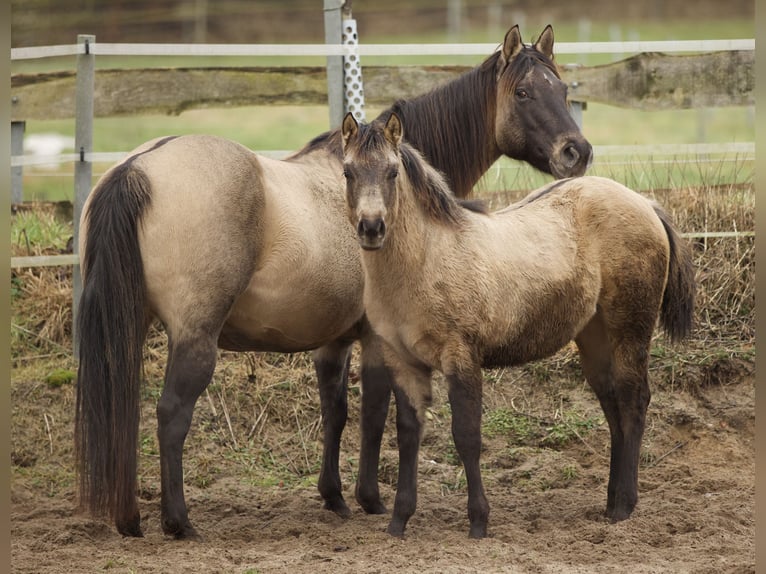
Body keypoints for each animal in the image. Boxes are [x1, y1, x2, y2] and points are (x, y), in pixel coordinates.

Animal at [76, 23, 592, 540]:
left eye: (564, 90)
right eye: (523, 93)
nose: (577, 152)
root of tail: (135, 169)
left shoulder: (334, 340)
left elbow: (336, 412)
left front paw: (334, 496)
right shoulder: (377, 339)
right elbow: (374, 413)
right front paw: (371, 498)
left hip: (128, 329)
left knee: (123, 412)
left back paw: (129, 518)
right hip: (194, 339)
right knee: (170, 415)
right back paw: (178, 521)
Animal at [340, 115, 696, 544]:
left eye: (392, 172)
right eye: (347, 171)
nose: (371, 227)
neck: (425, 259)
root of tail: (646, 205)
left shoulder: (462, 356)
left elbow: (467, 435)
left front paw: (478, 521)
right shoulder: (404, 362)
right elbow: (408, 433)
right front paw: (399, 520)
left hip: (630, 330)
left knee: (633, 401)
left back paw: (625, 505)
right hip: (595, 340)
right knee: (612, 407)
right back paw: (610, 504)